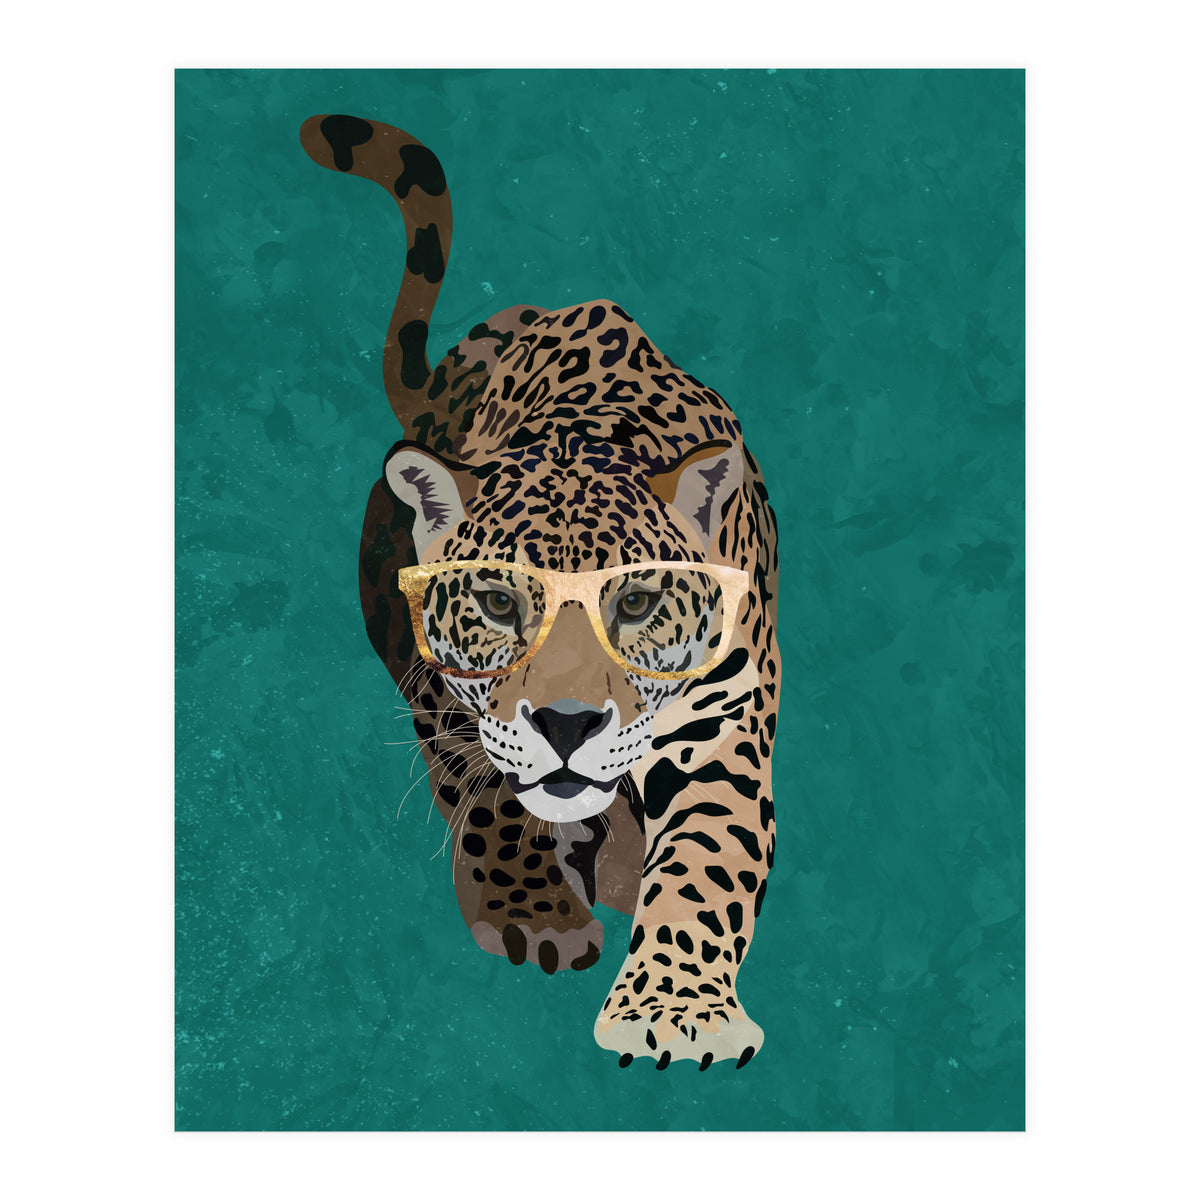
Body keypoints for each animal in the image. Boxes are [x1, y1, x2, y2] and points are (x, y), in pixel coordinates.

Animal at [300, 114, 780, 1070]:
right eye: (497, 603)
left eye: (634, 603)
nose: (566, 725)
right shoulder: (448, 694)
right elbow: (490, 794)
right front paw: (534, 912)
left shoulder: (722, 721)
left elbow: (707, 860)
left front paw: (675, 1011)